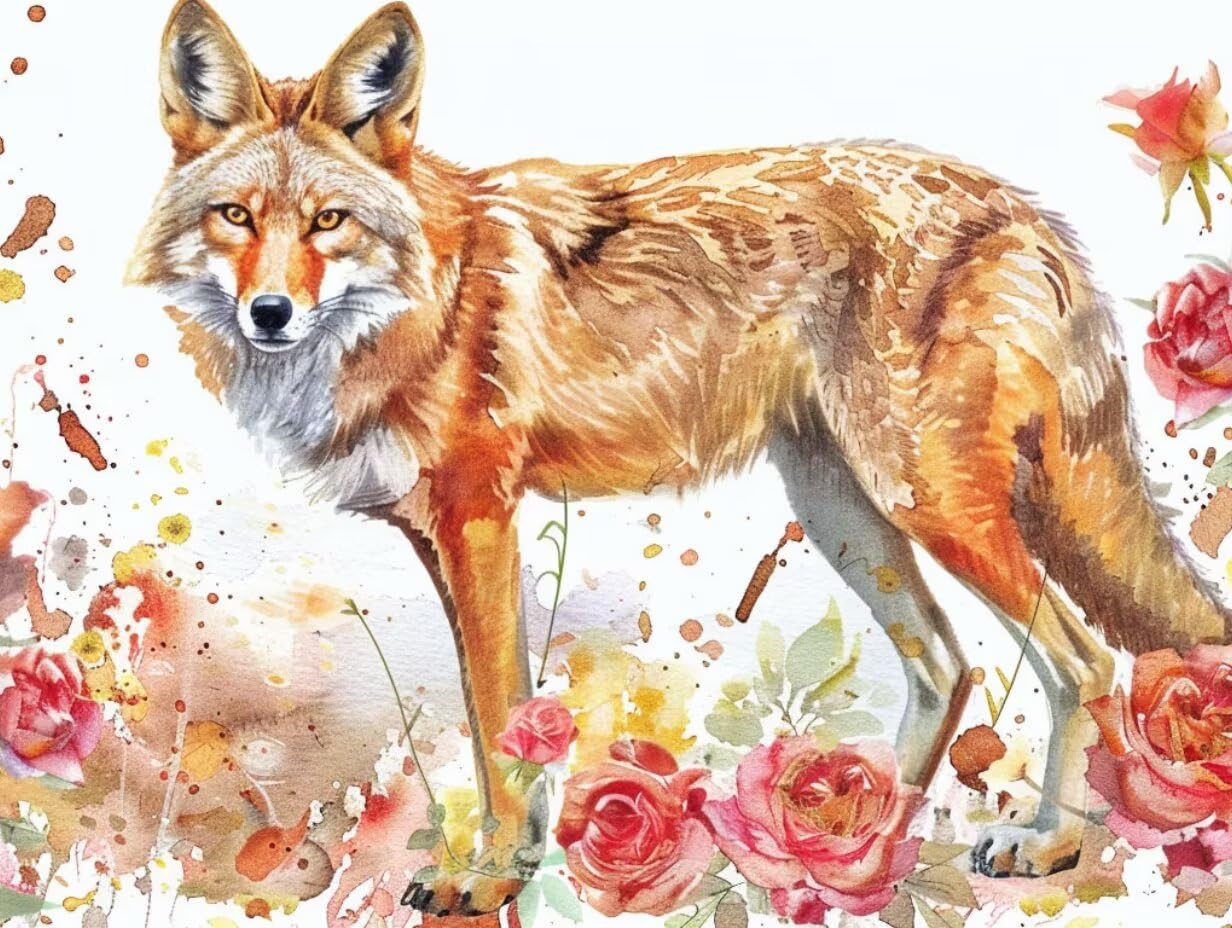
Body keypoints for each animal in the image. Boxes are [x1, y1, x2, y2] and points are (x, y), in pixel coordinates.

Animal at [128, 0, 1231, 917]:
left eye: (329, 222)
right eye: (237, 217)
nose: (270, 313)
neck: (420, 306)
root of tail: (1023, 208)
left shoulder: (479, 519)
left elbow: (496, 722)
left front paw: (487, 878)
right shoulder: (443, 538)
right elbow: (504, 725)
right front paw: (514, 861)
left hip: (925, 503)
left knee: (1082, 659)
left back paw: (1047, 843)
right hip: (847, 514)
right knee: (948, 666)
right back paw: (856, 852)